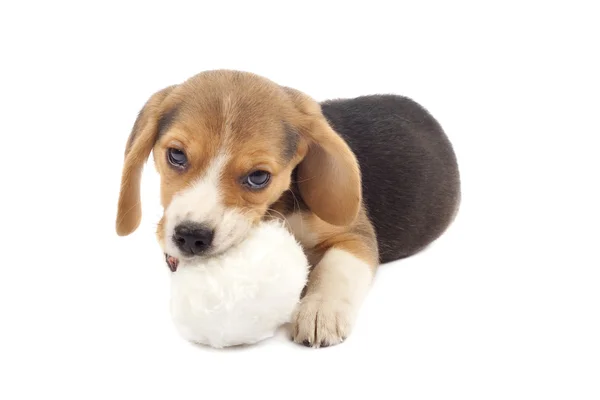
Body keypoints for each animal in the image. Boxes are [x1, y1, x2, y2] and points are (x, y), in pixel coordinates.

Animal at [115, 70, 460, 348]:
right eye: (176, 155)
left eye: (258, 177)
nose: (190, 236)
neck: (277, 206)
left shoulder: (354, 235)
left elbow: (336, 268)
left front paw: (320, 310)